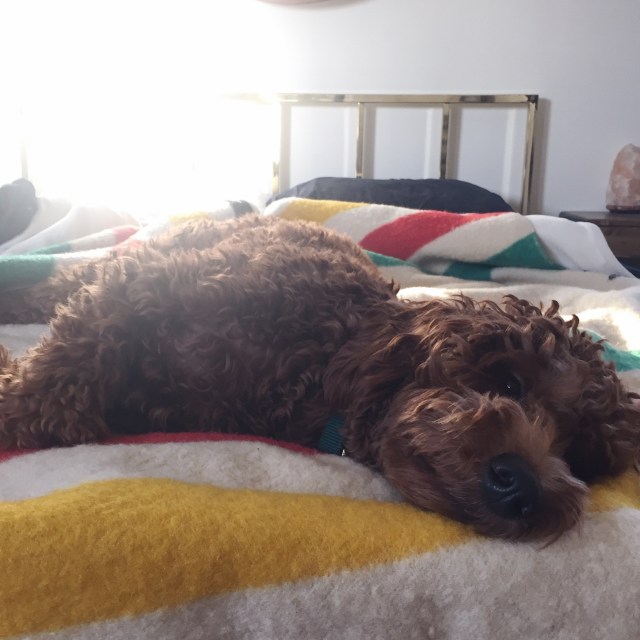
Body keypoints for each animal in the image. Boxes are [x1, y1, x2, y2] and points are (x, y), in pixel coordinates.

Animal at [0, 215, 636, 540]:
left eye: (577, 456)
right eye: (508, 384)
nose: (525, 488)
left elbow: (63, 405)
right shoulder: (142, 288)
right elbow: (50, 389)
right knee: (64, 283)